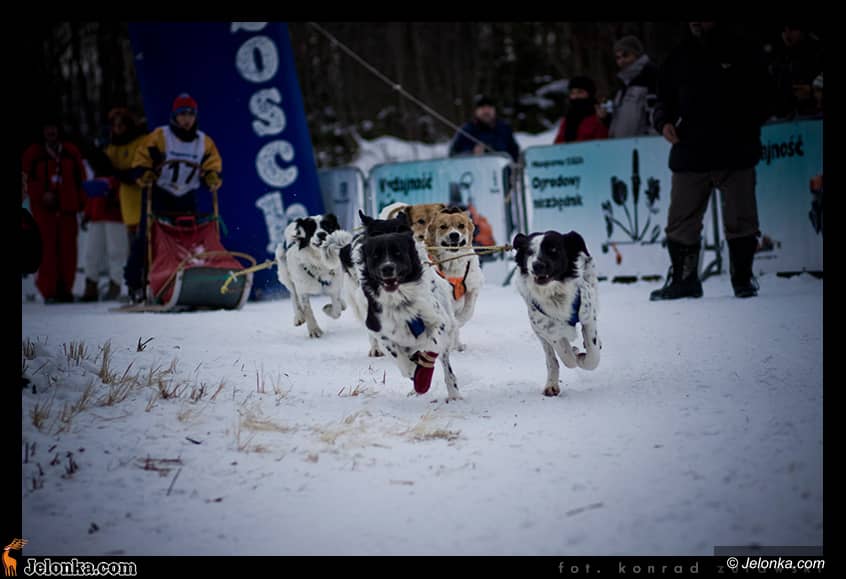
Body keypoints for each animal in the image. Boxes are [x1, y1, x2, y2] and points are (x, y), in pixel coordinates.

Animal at [359, 230, 461, 400]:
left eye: (398, 252)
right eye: (376, 255)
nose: (387, 268)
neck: (400, 301)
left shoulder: (440, 321)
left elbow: (432, 344)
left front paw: (423, 372)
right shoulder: (377, 329)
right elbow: (399, 358)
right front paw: (413, 371)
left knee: (447, 368)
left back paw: (453, 394)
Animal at [425, 207, 484, 351]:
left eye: (461, 226)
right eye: (443, 226)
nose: (454, 235)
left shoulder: (473, 286)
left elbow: (468, 311)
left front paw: (460, 321)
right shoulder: (443, 292)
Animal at [512, 230, 601, 396]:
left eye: (553, 250)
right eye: (529, 252)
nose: (537, 265)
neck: (554, 293)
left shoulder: (588, 317)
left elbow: (593, 356)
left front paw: (584, 357)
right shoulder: (547, 329)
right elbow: (566, 356)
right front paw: (575, 354)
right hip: (539, 332)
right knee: (552, 359)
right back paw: (552, 383)